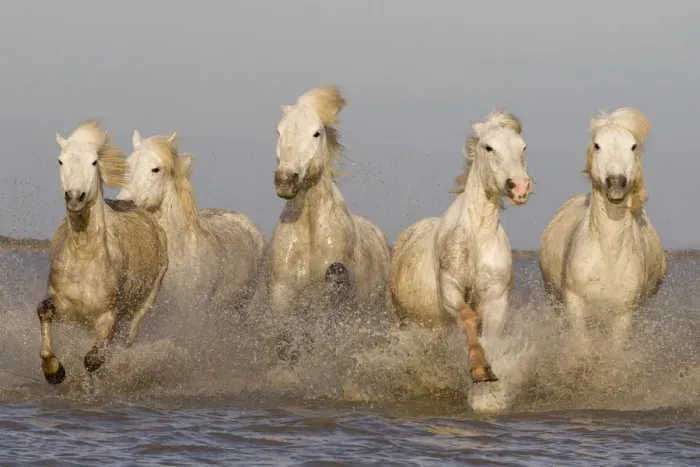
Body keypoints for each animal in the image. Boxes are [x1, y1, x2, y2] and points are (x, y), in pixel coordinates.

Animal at [37, 119, 168, 384]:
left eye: (94, 162)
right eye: (60, 161)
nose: (75, 197)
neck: (85, 255)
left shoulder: (108, 315)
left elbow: (93, 359)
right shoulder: (59, 302)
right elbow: (43, 313)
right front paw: (54, 370)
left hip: (143, 305)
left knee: (128, 336)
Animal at [268, 85, 391, 361]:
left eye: (316, 133)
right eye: (279, 131)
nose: (286, 180)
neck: (310, 230)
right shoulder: (283, 292)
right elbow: (284, 341)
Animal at [388, 109, 532, 383]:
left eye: (523, 147)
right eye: (488, 147)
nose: (519, 186)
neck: (476, 239)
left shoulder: (496, 298)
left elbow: (490, 335)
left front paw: (489, 370)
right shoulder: (450, 289)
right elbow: (467, 316)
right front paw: (477, 367)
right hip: (400, 318)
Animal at [539, 107, 666, 355]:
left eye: (633, 146)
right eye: (597, 145)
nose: (616, 183)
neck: (608, 256)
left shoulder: (623, 315)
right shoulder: (574, 306)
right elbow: (583, 351)